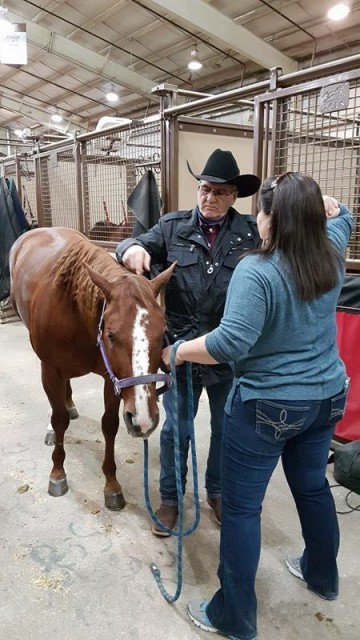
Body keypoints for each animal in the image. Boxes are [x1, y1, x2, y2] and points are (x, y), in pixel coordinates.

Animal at [10, 225, 174, 510]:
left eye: (161, 332)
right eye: (110, 334)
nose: (144, 419)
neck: (74, 308)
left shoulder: (113, 378)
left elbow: (109, 424)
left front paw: (112, 484)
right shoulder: (51, 369)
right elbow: (59, 419)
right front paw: (57, 473)